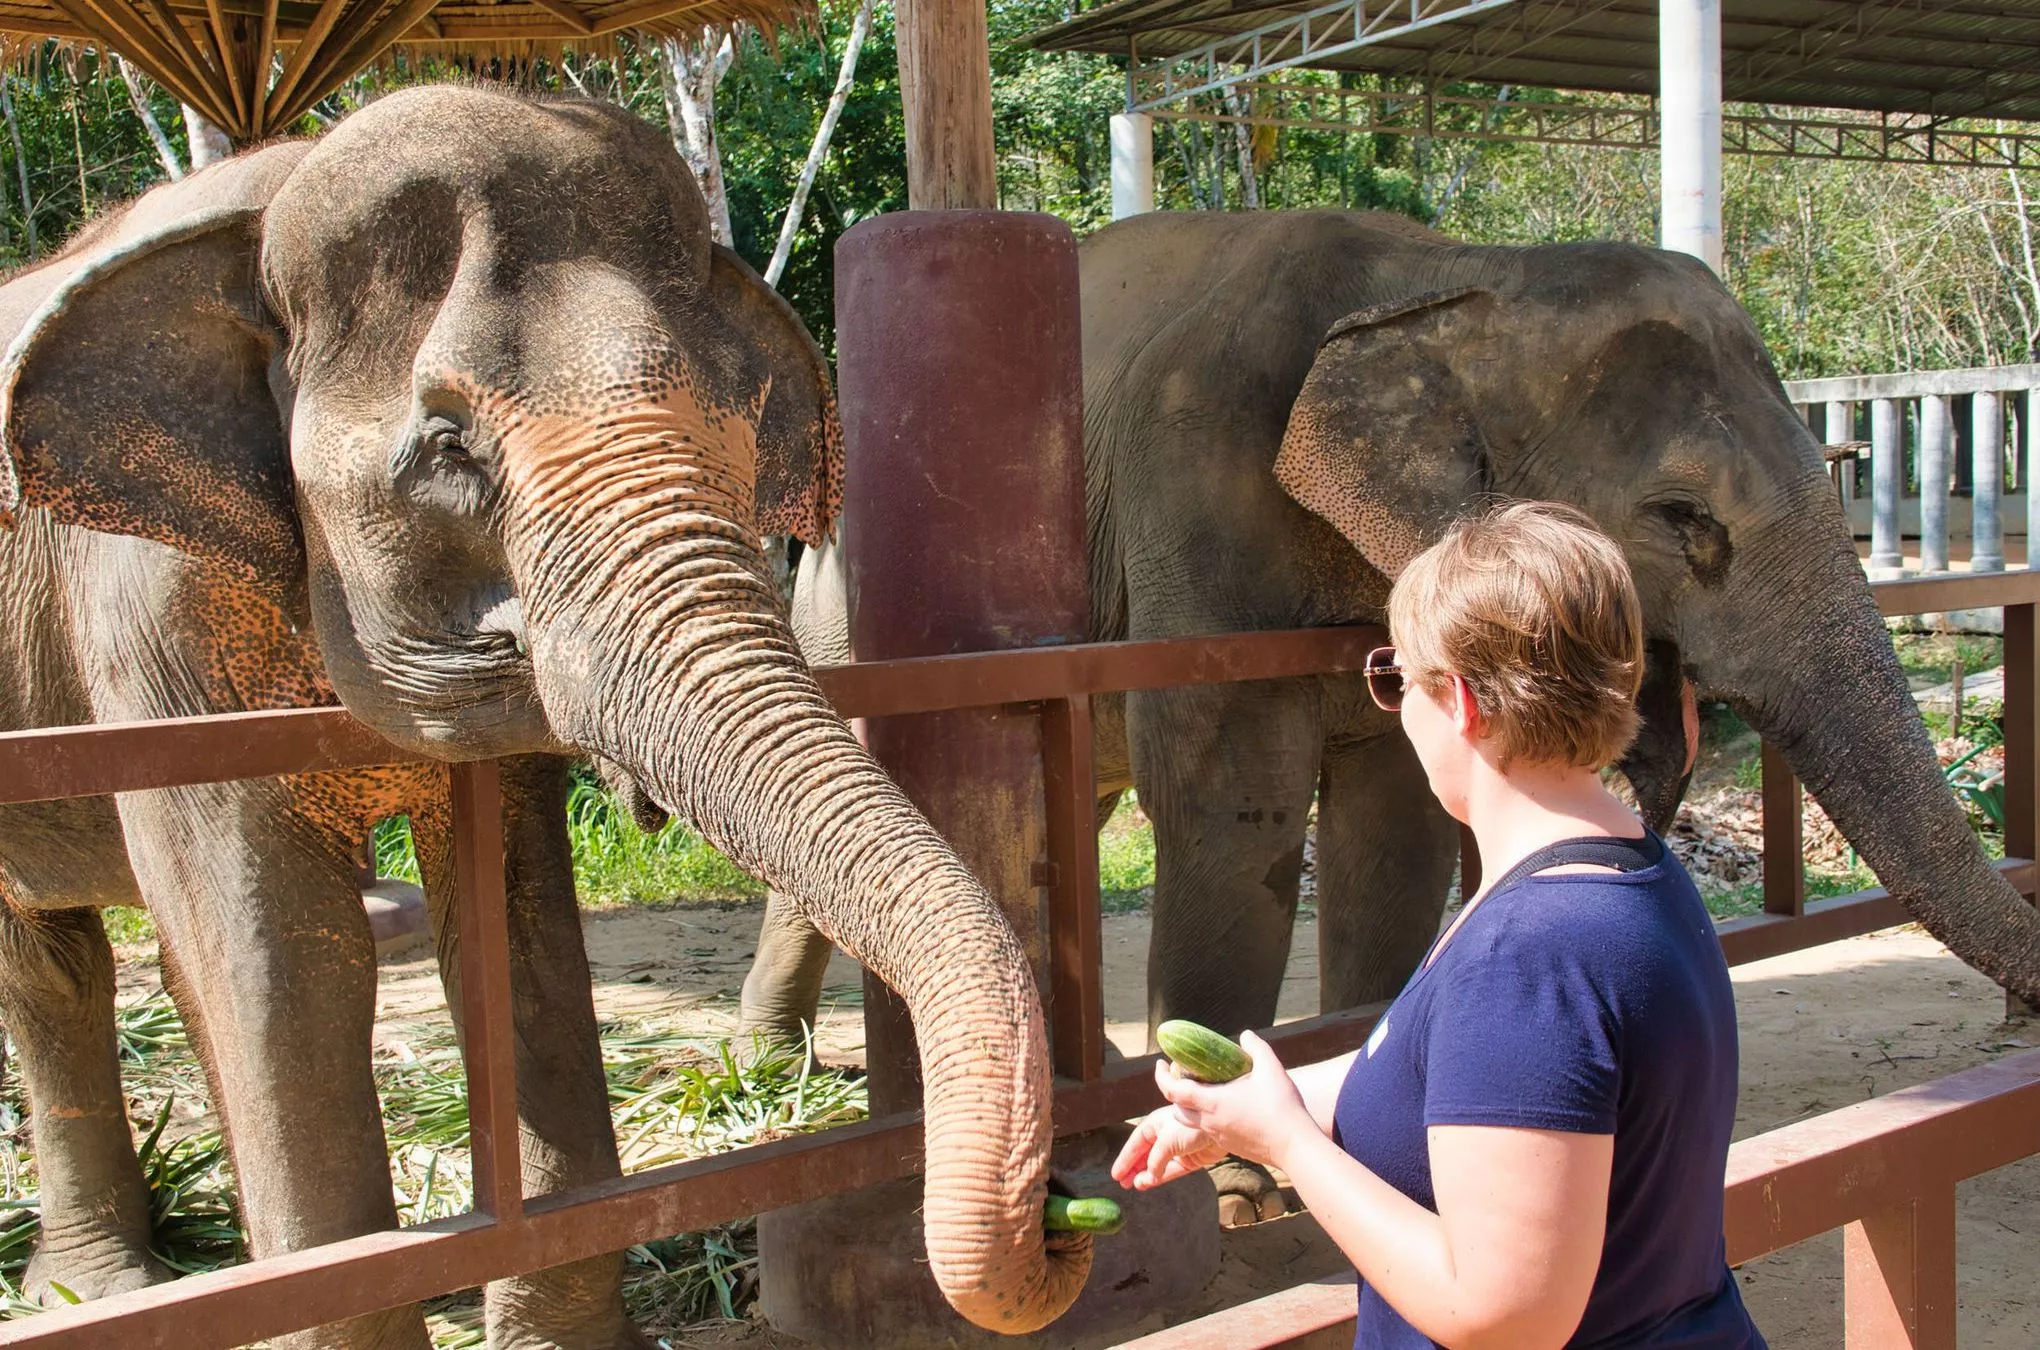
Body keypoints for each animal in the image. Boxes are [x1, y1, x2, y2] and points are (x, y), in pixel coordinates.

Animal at [0, 87, 1093, 1350]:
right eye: (446, 447)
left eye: (745, 420)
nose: (1060, 1203)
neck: (276, 194)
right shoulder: (154, 623)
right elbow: (281, 959)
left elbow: (519, 924)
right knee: (53, 968)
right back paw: (112, 1291)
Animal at [742, 212, 2040, 1199]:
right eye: (1686, 521)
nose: (2018, 1035)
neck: (1449, 277)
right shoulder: (1194, 505)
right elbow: (1235, 809)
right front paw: (1241, 1182)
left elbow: (1398, 828)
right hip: (847, 599)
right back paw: (787, 1079)